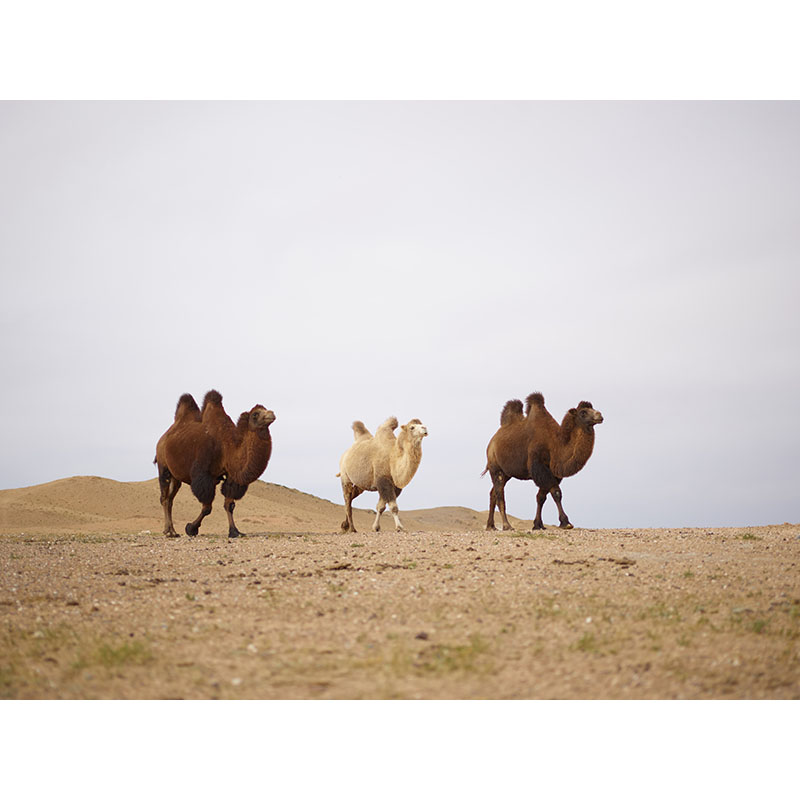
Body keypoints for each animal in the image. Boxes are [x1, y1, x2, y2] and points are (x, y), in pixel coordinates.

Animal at [155, 390, 276, 536]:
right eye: (255, 414)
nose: (271, 414)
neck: (226, 447)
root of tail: (162, 439)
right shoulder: (204, 476)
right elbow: (207, 507)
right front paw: (191, 528)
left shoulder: (231, 476)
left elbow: (229, 505)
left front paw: (235, 531)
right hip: (163, 467)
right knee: (164, 498)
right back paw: (168, 532)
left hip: (176, 477)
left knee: (170, 499)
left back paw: (172, 531)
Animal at [482, 392, 600, 532]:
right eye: (583, 412)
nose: (599, 415)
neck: (555, 445)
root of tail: (491, 443)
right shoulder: (539, 467)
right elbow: (556, 492)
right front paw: (566, 522)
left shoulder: (552, 472)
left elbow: (541, 497)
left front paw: (538, 525)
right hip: (495, 467)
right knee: (500, 494)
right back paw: (507, 526)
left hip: (507, 473)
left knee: (493, 493)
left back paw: (491, 526)